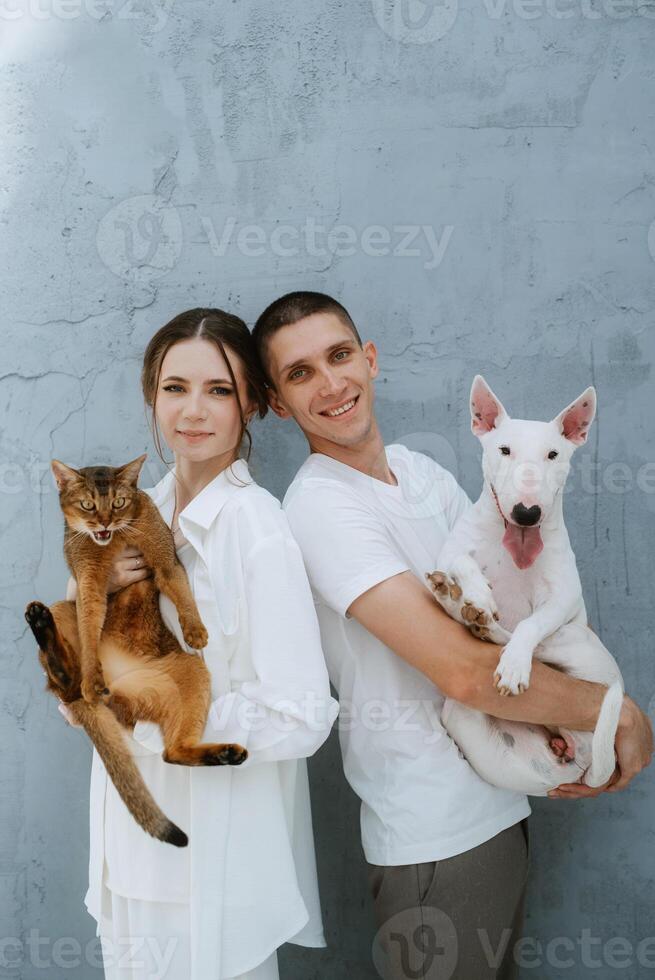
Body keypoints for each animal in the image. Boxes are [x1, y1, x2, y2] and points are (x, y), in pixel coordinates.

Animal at [25, 452, 249, 844]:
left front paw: (196, 630)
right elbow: (89, 624)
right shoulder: (88, 582)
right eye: (87, 505)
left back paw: (224, 754)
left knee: (171, 752)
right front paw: (92, 671)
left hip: (191, 672)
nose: (104, 521)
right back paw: (68, 660)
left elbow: (181, 591)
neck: (114, 540)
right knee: (70, 682)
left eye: (118, 502)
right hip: (63, 607)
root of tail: (118, 685)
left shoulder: (162, 556)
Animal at [426, 376, 624, 796]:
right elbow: (463, 561)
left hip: (575, 639)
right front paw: (478, 591)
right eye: (504, 450)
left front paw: (514, 667)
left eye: (553, 454)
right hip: (464, 718)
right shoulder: (451, 548)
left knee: (523, 636)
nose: (527, 513)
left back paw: (474, 620)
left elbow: (531, 624)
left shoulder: (563, 598)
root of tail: (579, 761)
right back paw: (460, 603)